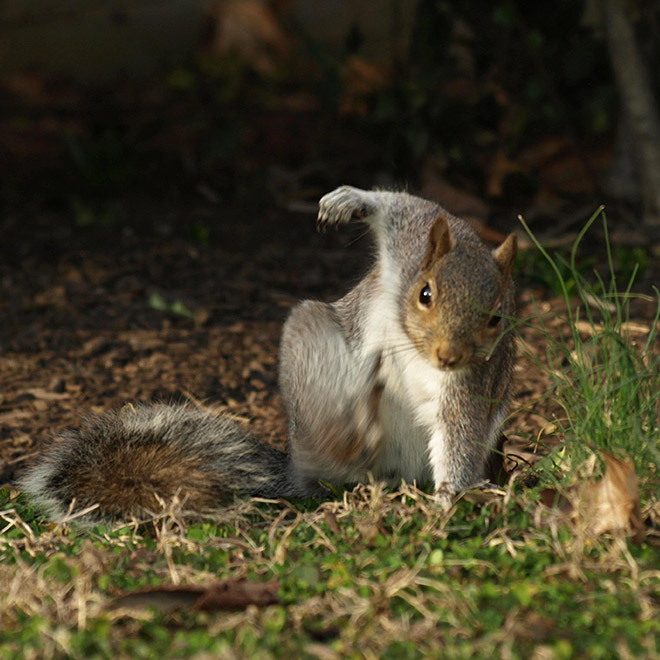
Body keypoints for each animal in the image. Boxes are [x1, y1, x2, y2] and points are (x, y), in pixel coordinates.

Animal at [19, 183, 516, 524]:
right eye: (425, 293)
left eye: (496, 317)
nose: (449, 355)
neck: (414, 345)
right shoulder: (410, 243)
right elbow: (403, 206)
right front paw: (350, 201)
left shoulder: (470, 383)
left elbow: (460, 435)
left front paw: (450, 499)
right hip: (309, 344)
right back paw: (347, 434)